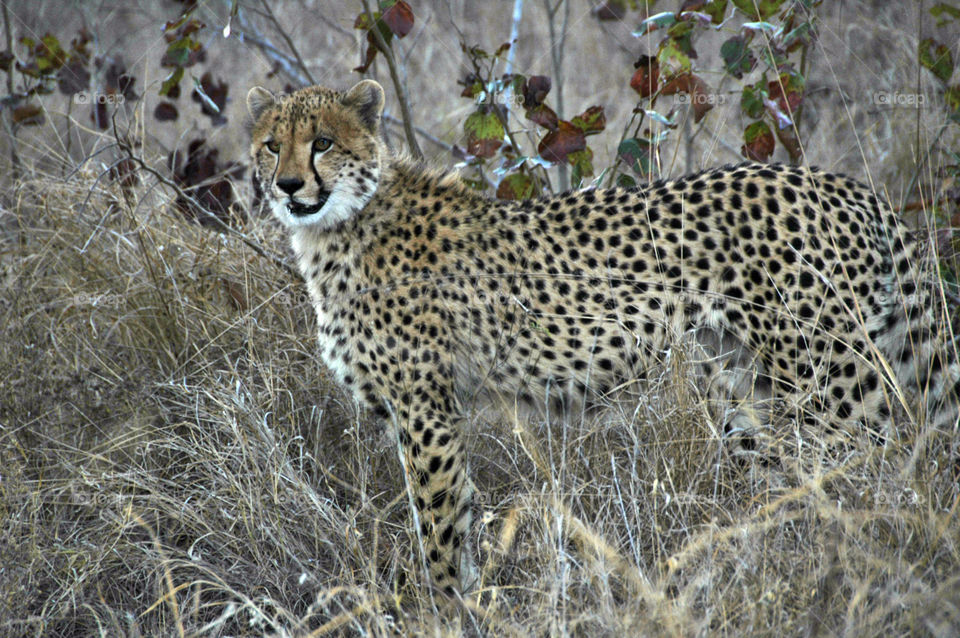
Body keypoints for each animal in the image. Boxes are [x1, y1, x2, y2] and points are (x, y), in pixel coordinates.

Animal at [246, 79, 959, 596]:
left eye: (322, 143)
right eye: (271, 145)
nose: (287, 185)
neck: (342, 226)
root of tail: (844, 184)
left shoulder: (427, 412)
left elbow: (440, 526)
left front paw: (444, 610)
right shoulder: (428, 413)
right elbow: (459, 517)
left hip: (829, 385)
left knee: (880, 473)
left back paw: (858, 563)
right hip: (745, 391)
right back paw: (781, 565)